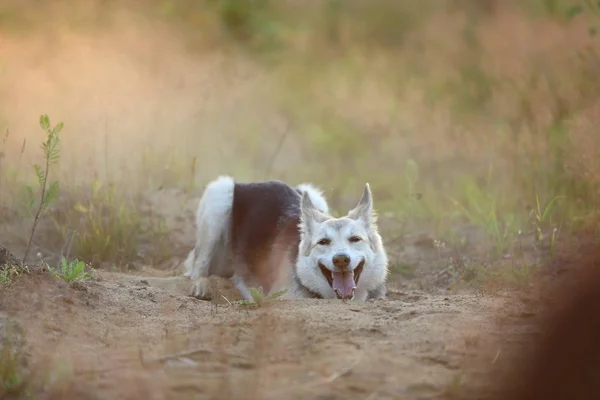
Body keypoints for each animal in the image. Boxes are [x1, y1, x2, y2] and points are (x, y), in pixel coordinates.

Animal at [183, 177, 390, 302]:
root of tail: (255, 182)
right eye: (323, 242)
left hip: (315, 195)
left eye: (355, 239)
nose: (341, 260)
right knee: (198, 267)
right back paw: (201, 286)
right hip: (219, 197)